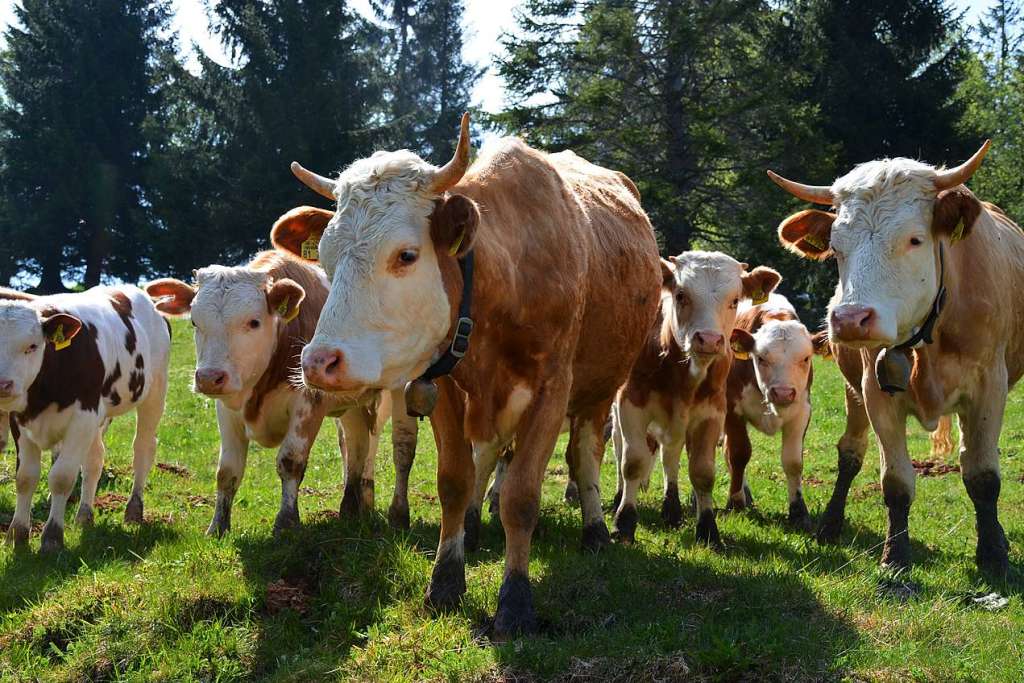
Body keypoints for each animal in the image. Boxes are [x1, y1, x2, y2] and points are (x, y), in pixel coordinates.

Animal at [0, 286, 172, 548]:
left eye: (32, 346)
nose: (2, 385)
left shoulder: (82, 418)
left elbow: (61, 477)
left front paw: (52, 537)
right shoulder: (19, 420)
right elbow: (25, 478)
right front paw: (17, 534)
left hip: (154, 393)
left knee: (143, 448)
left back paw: (134, 510)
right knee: (94, 459)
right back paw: (84, 514)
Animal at [145, 242, 419, 536]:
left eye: (253, 322)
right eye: (195, 322)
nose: (209, 378)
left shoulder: (308, 403)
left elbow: (290, 462)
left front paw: (286, 522)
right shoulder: (226, 408)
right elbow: (227, 471)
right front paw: (218, 526)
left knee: (400, 447)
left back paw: (396, 514)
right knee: (356, 444)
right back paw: (350, 509)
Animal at [610, 248, 778, 548]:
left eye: (735, 300)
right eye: (681, 295)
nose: (709, 340)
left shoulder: (711, 413)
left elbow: (702, 472)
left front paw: (708, 529)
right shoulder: (631, 403)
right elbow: (633, 462)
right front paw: (624, 522)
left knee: (670, 455)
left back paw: (672, 509)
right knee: (620, 450)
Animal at [724, 292, 819, 528]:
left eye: (805, 358)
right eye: (761, 358)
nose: (783, 393)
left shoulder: (801, 411)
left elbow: (793, 462)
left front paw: (798, 512)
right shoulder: (731, 410)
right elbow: (738, 454)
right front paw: (735, 503)